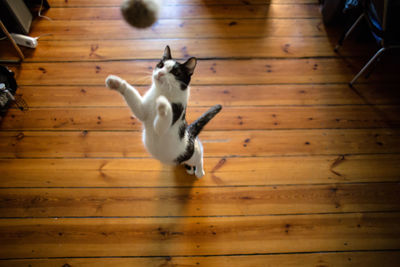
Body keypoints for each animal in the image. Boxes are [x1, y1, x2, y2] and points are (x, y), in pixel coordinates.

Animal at [104, 46, 222, 179]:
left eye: (176, 72)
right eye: (160, 65)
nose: (160, 73)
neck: (162, 92)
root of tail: (189, 132)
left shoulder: (167, 122)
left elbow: (161, 123)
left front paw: (163, 105)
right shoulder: (142, 111)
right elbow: (135, 102)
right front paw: (116, 83)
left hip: (190, 151)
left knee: (199, 152)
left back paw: (199, 171)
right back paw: (190, 168)